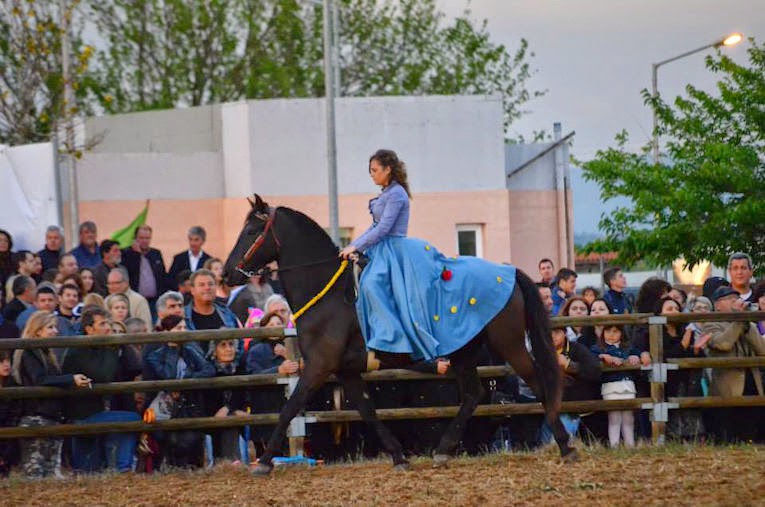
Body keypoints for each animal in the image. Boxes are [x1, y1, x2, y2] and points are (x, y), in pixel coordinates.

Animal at [224, 195, 576, 476]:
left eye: (251, 231)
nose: (227, 273)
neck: (328, 293)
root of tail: (509, 272)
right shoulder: (346, 371)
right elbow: (366, 411)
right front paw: (398, 456)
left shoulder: (319, 366)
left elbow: (290, 407)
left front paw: (264, 462)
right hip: (465, 351)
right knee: (474, 394)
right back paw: (443, 450)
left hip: (510, 344)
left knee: (538, 383)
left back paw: (565, 445)